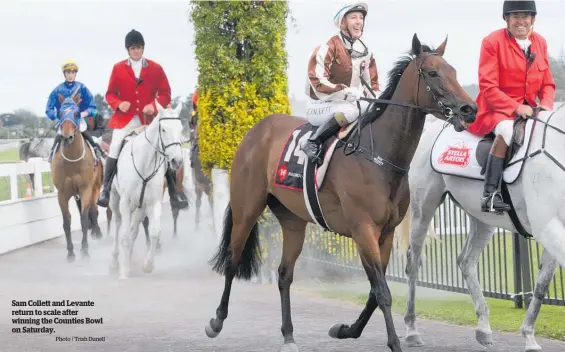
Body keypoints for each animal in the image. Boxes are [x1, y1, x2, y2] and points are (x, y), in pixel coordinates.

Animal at [50, 93, 104, 262]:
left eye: (76, 113)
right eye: (60, 113)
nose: (67, 137)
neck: (72, 162)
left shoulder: (86, 188)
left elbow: (85, 217)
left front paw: (85, 250)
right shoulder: (62, 193)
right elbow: (66, 221)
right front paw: (70, 252)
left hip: (95, 187)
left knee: (93, 209)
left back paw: (97, 232)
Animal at [108, 100, 183, 280]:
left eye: (181, 129)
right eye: (164, 129)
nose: (177, 161)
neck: (145, 163)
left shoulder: (152, 203)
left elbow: (154, 232)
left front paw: (147, 265)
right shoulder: (125, 203)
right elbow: (124, 236)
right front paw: (123, 272)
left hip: (140, 208)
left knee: (134, 230)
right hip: (115, 200)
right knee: (118, 225)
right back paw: (115, 260)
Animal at [203, 33, 476, 352]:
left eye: (453, 71)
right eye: (433, 73)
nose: (469, 109)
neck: (379, 156)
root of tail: (256, 130)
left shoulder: (385, 233)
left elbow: (374, 292)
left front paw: (345, 330)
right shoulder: (363, 230)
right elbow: (382, 291)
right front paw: (394, 342)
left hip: (293, 220)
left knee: (284, 274)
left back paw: (288, 336)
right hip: (247, 209)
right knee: (232, 262)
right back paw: (216, 322)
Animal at [400, 106, 564, 352]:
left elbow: (542, 286)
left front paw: (529, 336)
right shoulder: (548, 228)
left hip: (483, 220)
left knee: (466, 261)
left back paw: (484, 328)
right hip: (423, 208)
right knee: (413, 263)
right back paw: (412, 330)